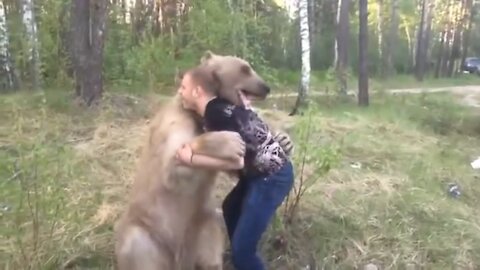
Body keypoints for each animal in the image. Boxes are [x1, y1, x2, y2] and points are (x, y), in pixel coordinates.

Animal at [113, 51, 294, 270]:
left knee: (211, 252)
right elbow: (173, 168)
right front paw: (229, 142)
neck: (198, 113)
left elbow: (237, 168)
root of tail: (176, 259)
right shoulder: (177, 124)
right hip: (146, 232)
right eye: (245, 69)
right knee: (138, 248)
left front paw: (285, 139)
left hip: (204, 223)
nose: (266, 87)